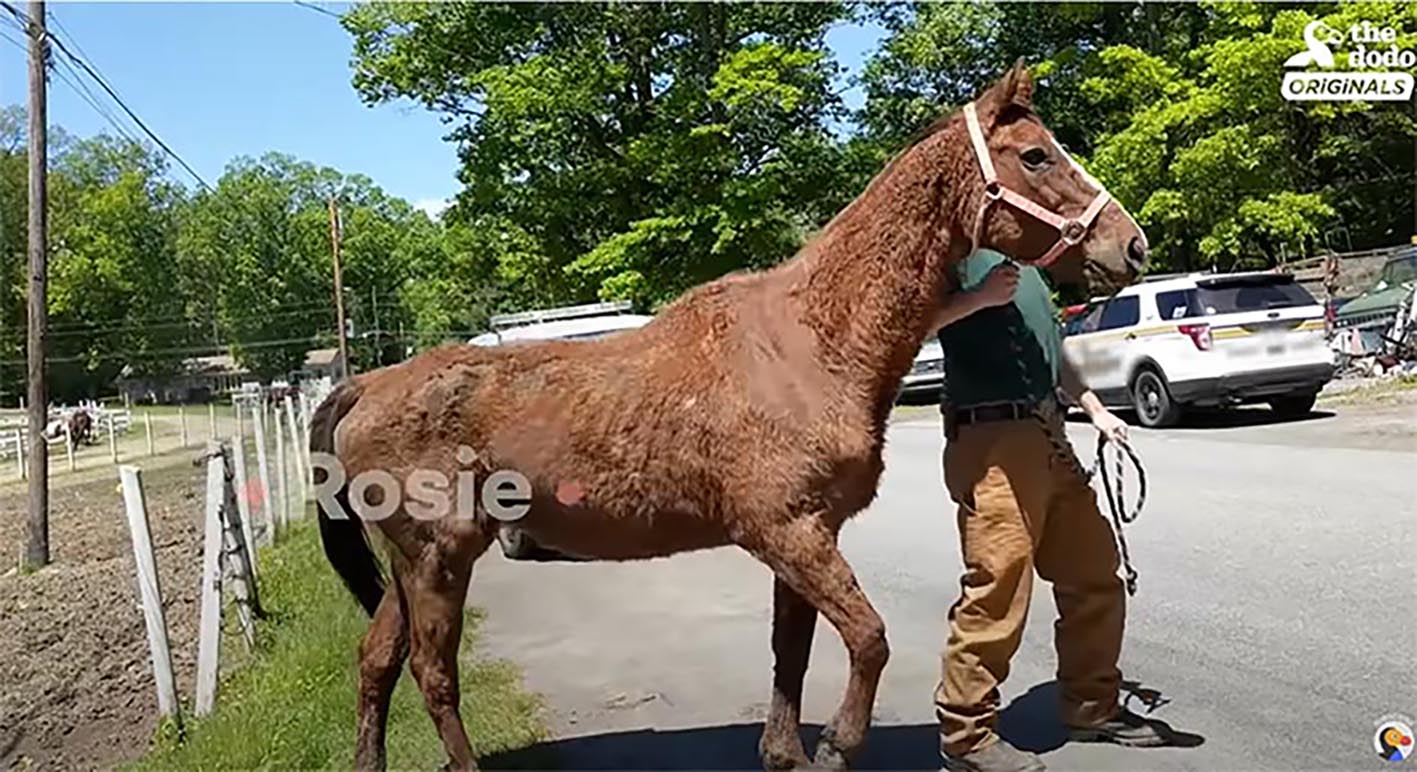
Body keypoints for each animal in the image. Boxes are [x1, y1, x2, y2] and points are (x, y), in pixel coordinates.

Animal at [315, 66, 1144, 770]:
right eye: (1035, 155)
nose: (1130, 246)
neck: (809, 341)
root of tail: (368, 385)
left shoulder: (804, 537)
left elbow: (792, 652)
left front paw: (786, 753)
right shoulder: (787, 533)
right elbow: (869, 639)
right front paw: (837, 745)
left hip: (408, 566)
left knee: (376, 662)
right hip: (438, 558)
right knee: (432, 675)